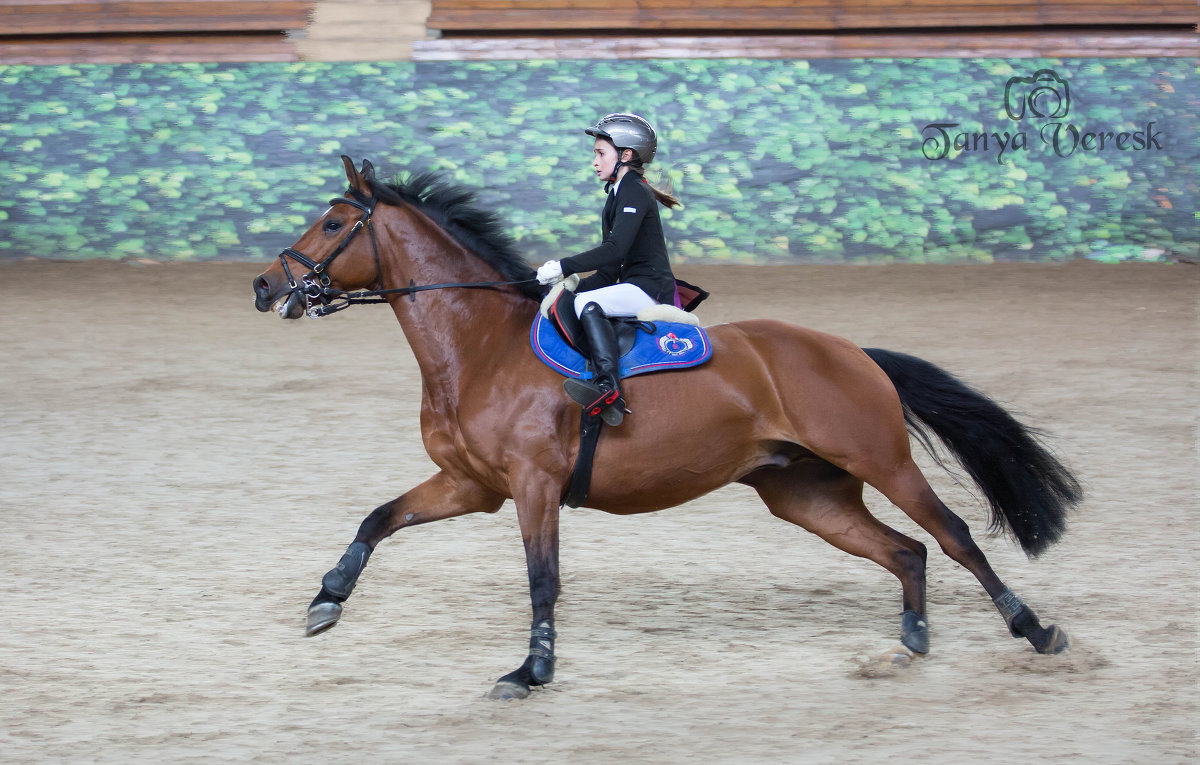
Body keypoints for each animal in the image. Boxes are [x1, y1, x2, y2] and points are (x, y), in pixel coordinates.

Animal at [250, 155, 1080, 700]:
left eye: (332, 222)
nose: (264, 286)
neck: (476, 345)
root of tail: (852, 351)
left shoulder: (533, 484)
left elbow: (543, 579)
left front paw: (531, 671)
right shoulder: (470, 485)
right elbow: (377, 519)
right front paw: (326, 600)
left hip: (883, 461)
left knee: (955, 538)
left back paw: (1036, 631)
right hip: (808, 494)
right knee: (907, 551)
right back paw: (909, 643)